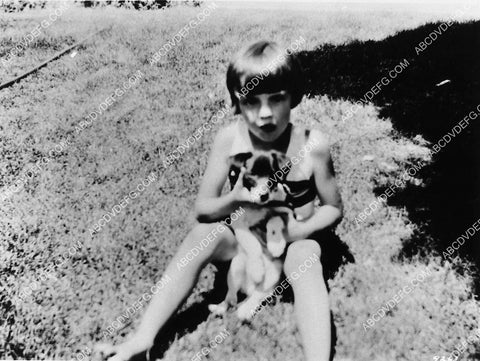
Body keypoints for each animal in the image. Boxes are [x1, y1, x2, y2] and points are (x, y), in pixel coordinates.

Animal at [209, 150, 292, 320]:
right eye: (252, 174)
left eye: (272, 174)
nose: (264, 196)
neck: (257, 206)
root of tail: (248, 288)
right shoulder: (238, 222)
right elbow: (251, 243)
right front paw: (256, 268)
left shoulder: (282, 209)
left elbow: (274, 220)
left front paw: (276, 245)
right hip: (235, 268)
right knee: (230, 296)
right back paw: (221, 308)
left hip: (273, 276)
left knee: (258, 296)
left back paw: (246, 310)